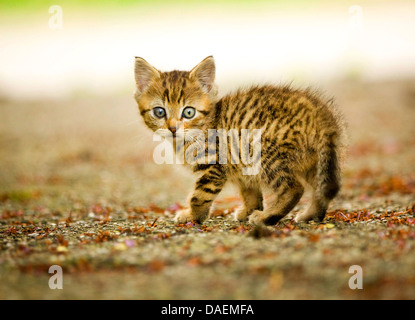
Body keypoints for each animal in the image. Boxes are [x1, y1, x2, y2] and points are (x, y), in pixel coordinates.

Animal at [133, 55, 344, 225]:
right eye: (159, 112)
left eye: (189, 112)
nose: (173, 128)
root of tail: (322, 116)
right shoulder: (241, 164)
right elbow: (249, 191)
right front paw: (249, 209)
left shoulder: (214, 165)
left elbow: (200, 196)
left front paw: (192, 216)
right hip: (314, 160)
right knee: (321, 188)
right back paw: (311, 215)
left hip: (266, 153)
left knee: (294, 188)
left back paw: (267, 217)